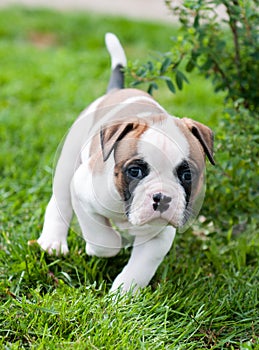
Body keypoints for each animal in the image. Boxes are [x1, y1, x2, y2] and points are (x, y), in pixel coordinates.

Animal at [36, 33, 215, 292]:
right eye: (135, 171)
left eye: (187, 175)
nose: (163, 197)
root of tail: (116, 90)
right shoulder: (81, 189)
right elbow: (102, 238)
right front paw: (104, 245)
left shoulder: (159, 236)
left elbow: (139, 268)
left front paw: (124, 294)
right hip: (68, 163)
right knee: (59, 202)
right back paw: (53, 242)